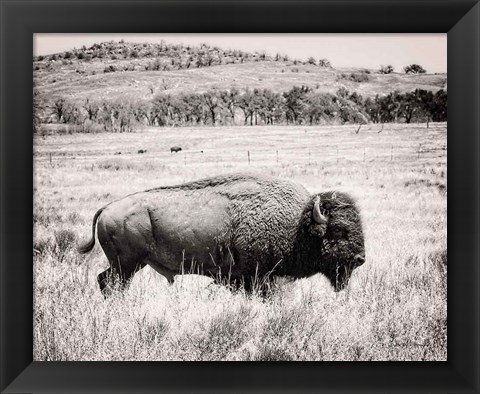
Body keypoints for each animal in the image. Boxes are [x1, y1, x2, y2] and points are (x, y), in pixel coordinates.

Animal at [78, 173, 364, 296]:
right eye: (339, 230)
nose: (361, 258)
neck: (297, 225)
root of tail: (108, 208)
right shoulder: (257, 278)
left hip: (128, 266)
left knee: (104, 280)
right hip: (126, 265)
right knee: (110, 283)